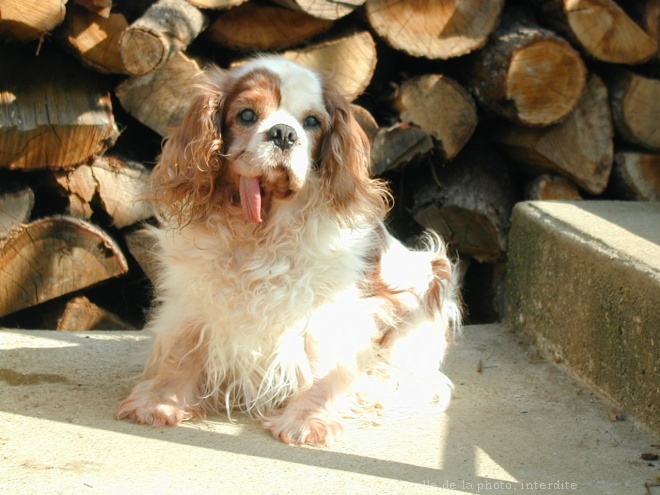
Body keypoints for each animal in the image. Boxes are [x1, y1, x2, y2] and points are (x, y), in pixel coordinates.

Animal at [116, 55, 462, 446]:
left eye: (312, 122)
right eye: (247, 115)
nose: (283, 133)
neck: (260, 231)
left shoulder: (328, 306)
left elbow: (325, 364)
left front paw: (309, 419)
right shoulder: (195, 297)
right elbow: (182, 349)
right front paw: (161, 401)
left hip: (430, 282)